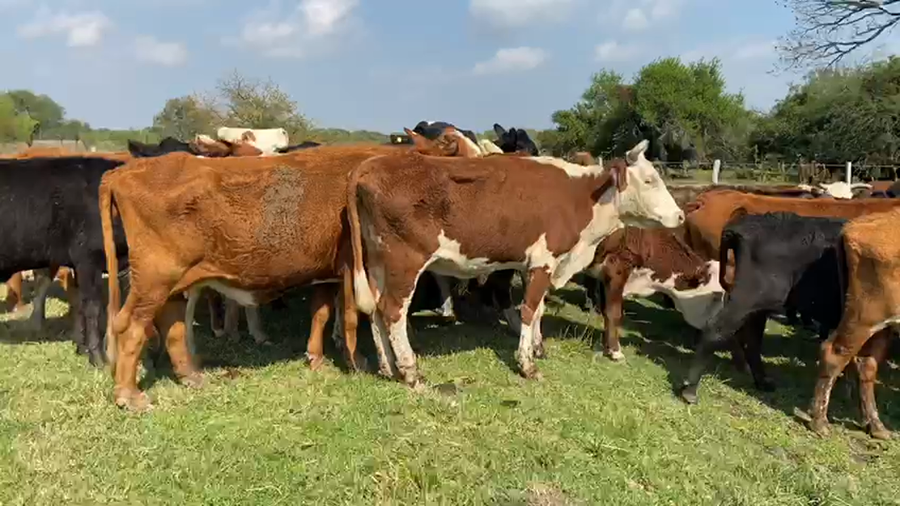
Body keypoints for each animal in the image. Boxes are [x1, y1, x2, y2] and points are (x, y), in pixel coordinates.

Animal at [0, 156, 129, 366]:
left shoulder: (78, 265)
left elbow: (80, 304)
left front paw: (82, 349)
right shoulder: (88, 259)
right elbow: (92, 307)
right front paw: (99, 360)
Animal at [346, 140, 685, 388]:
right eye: (649, 180)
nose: (680, 216)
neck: (580, 197)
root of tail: (370, 166)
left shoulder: (532, 265)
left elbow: (539, 310)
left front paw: (537, 348)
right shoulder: (543, 261)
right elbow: (529, 311)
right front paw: (527, 364)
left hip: (378, 262)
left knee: (375, 311)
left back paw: (387, 367)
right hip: (405, 262)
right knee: (393, 312)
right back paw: (409, 370)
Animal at [577, 226, 724, 362]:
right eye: (716, 297)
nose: (716, 331)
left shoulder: (604, 277)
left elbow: (605, 311)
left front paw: (607, 347)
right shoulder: (616, 269)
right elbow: (614, 313)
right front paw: (615, 351)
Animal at [679, 212, 848, 405]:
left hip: (758, 306)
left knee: (751, 339)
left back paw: (762, 381)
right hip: (751, 296)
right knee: (716, 330)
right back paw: (691, 390)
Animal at [806, 207, 900, 440]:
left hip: (881, 326)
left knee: (866, 365)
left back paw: (876, 426)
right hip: (864, 317)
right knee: (834, 353)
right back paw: (819, 422)